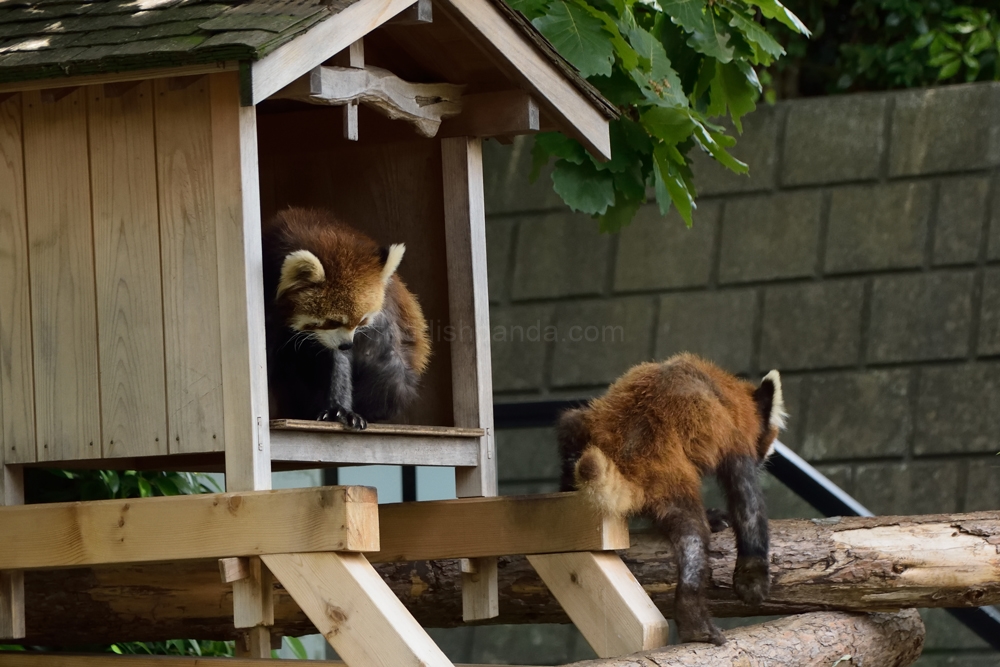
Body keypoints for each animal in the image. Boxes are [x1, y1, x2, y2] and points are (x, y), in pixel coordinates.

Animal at [560, 354, 784, 648]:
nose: (768, 455)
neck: (725, 390)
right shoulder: (732, 440)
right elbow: (748, 504)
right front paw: (753, 581)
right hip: (668, 475)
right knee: (692, 536)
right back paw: (695, 623)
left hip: (584, 424)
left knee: (570, 425)